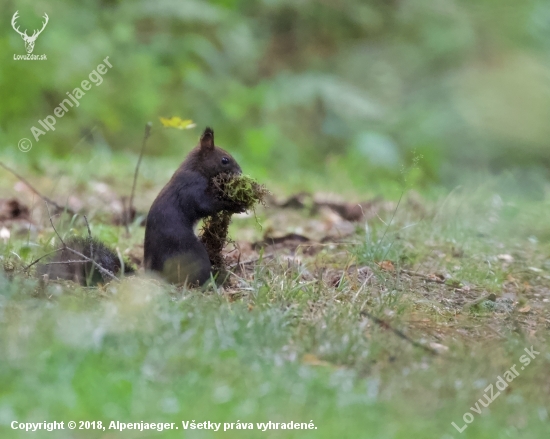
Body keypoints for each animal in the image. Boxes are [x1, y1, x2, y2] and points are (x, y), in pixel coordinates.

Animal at [144, 126, 244, 286]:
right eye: (225, 160)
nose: (240, 172)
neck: (196, 169)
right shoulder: (191, 188)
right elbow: (205, 205)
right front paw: (233, 204)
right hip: (189, 250)